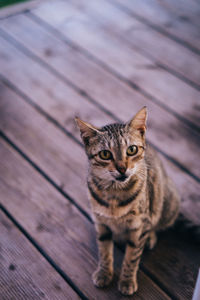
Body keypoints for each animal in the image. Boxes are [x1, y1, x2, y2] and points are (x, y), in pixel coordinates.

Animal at [75, 107, 180, 296]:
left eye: (131, 149)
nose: (122, 168)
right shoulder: (101, 223)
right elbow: (104, 252)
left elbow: (131, 258)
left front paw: (127, 280)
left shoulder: (138, 227)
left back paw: (151, 237)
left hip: (169, 206)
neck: (114, 195)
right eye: (105, 154)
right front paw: (104, 273)